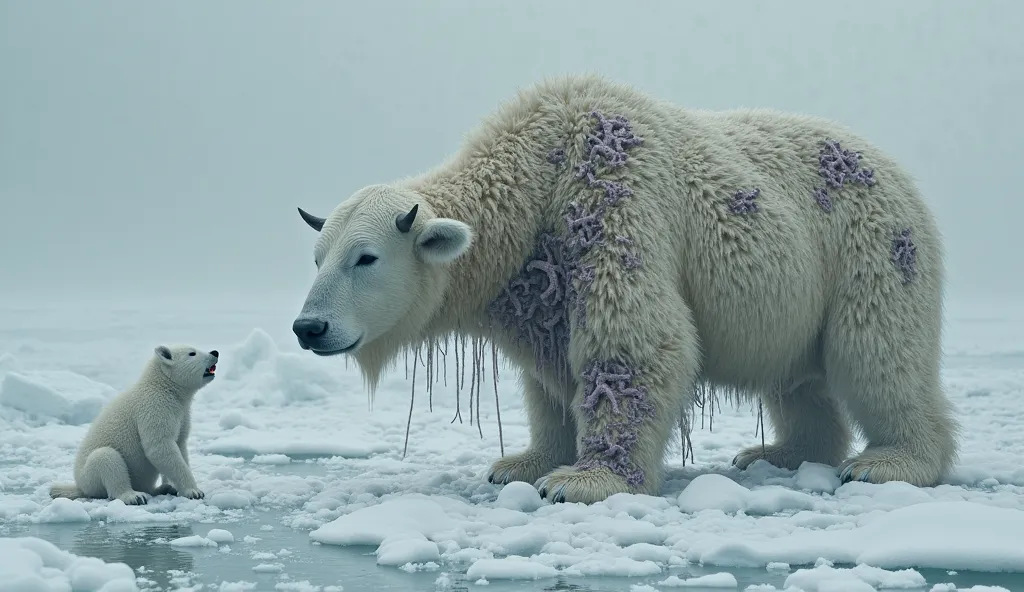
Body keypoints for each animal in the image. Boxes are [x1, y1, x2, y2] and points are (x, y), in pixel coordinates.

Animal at [48, 340, 218, 501]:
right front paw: (194, 491)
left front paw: (175, 486)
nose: (215, 352)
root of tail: (80, 487)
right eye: (192, 353)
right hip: (89, 477)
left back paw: (162, 488)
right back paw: (134, 496)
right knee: (107, 458)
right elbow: (159, 447)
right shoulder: (154, 407)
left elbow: (180, 444)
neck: (162, 386)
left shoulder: (182, 414)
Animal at [290, 71, 958, 499]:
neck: (537, 167)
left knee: (876, 350)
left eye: (365, 258)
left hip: (868, 244)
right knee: (798, 378)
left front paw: (581, 482)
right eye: (317, 257)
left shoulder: (609, 199)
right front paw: (519, 464)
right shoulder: (539, 279)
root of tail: (901, 174)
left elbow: (637, 342)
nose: (308, 327)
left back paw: (889, 463)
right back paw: (778, 453)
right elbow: (550, 376)